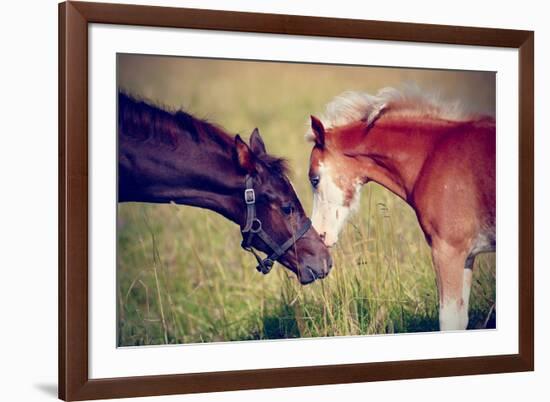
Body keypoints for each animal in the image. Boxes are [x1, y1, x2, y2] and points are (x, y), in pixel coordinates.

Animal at [308, 88, 498, 330]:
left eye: (314, 179)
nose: (320, 234)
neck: (430, 156)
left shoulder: (448, 250)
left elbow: (449, 319)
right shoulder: (467, 255)